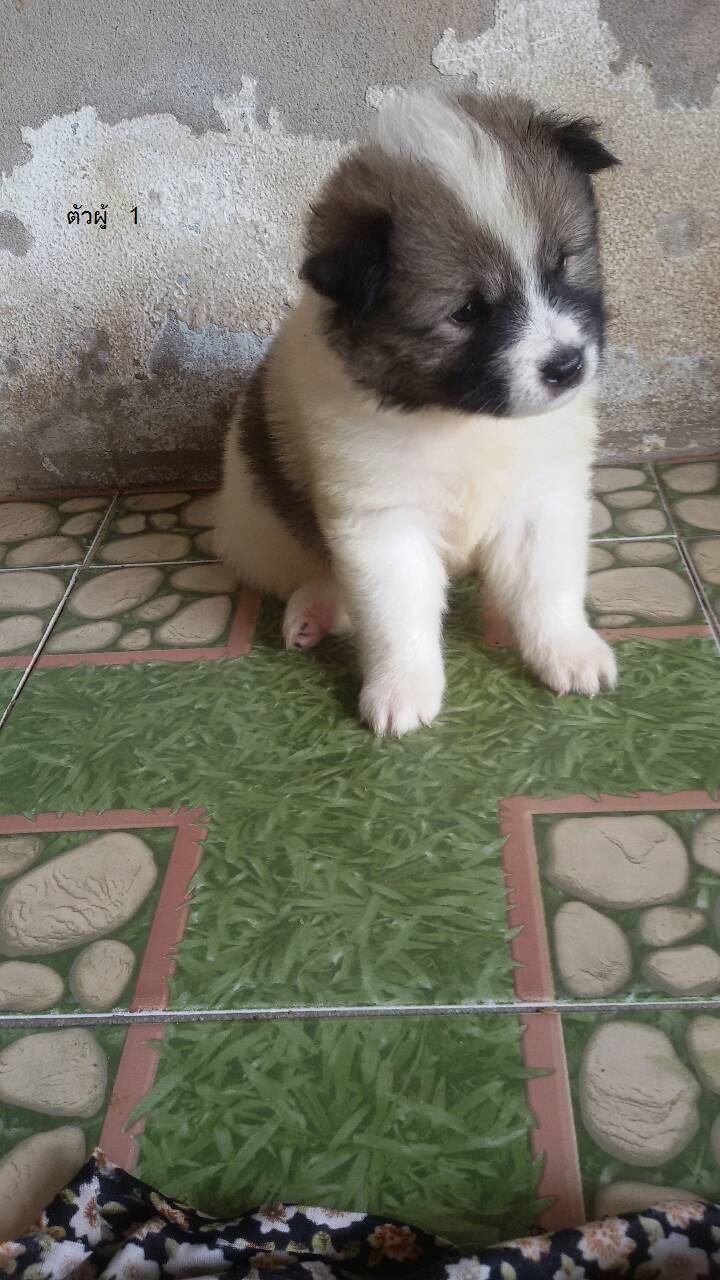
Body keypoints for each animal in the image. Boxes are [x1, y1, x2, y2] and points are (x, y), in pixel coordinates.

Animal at [215, 88, 619, 735]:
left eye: (560, 265)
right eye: (468, 311)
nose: (566, 366)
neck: (462, 416)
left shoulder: (542, 498)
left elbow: (546, 586)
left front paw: (567, 650)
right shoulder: (382, 520)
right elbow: (396, 615)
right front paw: (400, 690)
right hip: (259, 530)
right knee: (316, 573)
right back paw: (315, 610)